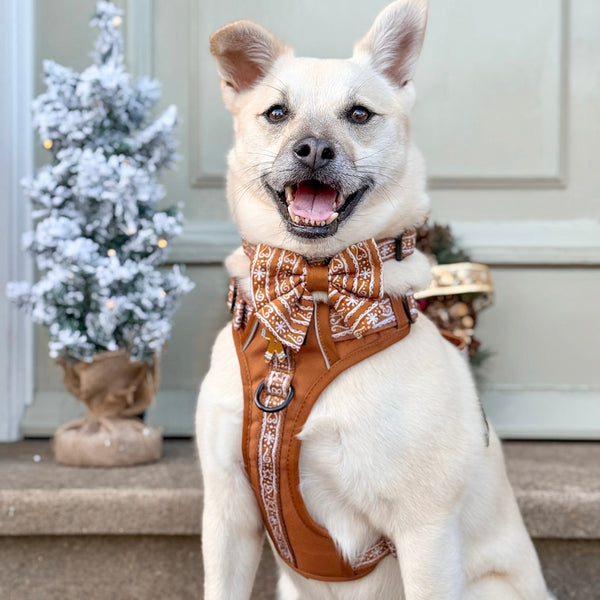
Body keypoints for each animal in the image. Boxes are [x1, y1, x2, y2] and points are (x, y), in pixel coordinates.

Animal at [196, 2, 552, 596]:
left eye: (359, 114)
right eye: (276, 113)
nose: (314, 149)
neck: (315, 293)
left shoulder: (425, 530)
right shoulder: (228, 516)